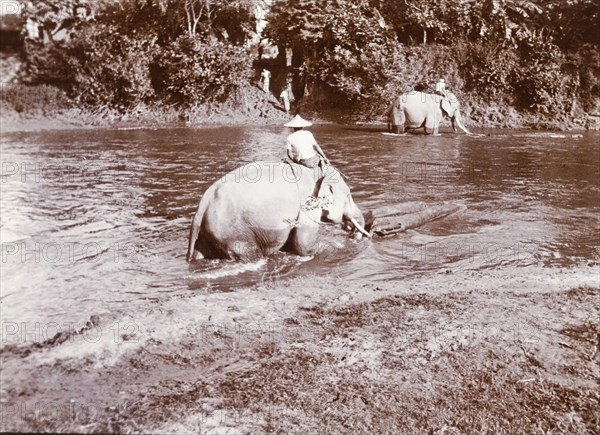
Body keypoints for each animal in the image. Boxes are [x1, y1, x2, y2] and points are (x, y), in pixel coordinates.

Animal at [186, 161, 370, 260]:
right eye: (349, 196)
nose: (352, 231)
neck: (316, 172)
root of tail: (203, 203)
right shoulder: (305, 206)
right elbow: (303, 245)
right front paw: (339, 247)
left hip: (207, 234)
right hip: (231, 233)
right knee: (251, 254)